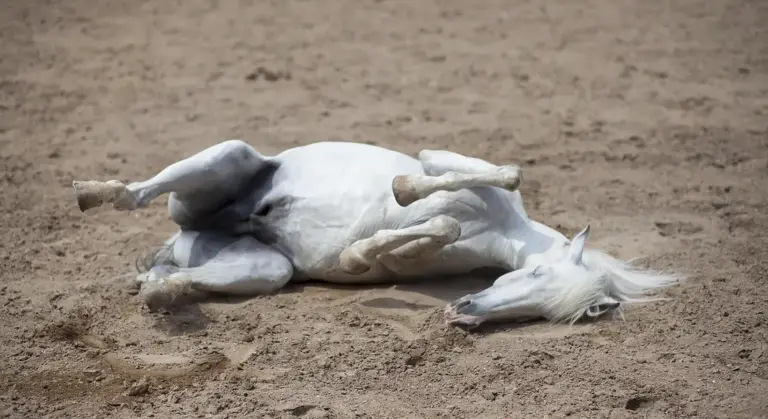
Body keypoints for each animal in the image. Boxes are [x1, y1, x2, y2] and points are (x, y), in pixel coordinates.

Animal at [72, 140, 682, 327]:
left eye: (546, 312)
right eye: (532, 275)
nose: (463, 314)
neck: (508, 230)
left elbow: (435, 230)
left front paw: (358, 255)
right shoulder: (445, 159)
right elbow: (493, 177)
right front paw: (403, 190)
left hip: (263, 269)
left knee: (173, 278)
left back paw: (159, 290)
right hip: (226, 158)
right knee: (134, 195)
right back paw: (91, 191)